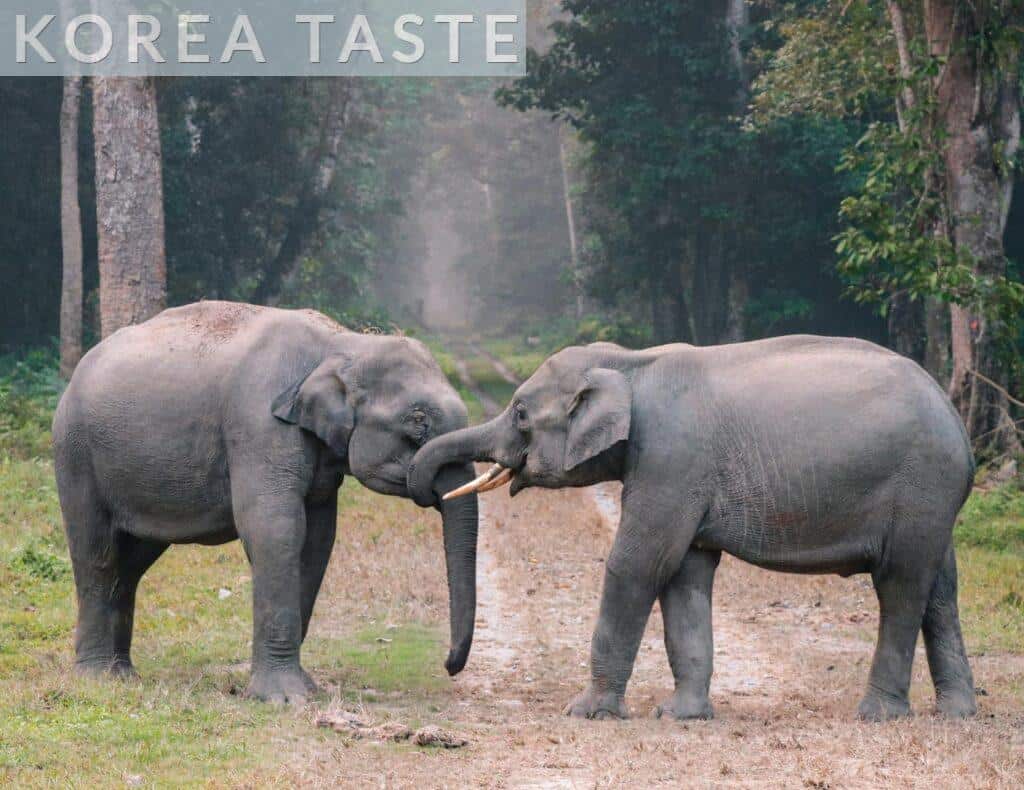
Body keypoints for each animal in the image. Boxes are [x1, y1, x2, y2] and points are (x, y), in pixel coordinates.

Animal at [52, 301, 479, 704]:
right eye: (418, 421)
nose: (449, 665)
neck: (341, 343)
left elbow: (318, 539)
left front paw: (305, 688)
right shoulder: (258, 425)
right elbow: (276, 530)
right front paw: (285, 698)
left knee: (131, 563)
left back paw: (123, 674)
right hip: (76, 454)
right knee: (98, 555)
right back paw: (97, 678)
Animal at [408, 335, 978, 722]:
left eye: (521, 413)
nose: (450, 668)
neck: (631, 363)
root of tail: (960, 424)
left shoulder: (671, 459)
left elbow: (639, 563)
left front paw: (586, 713)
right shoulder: (680, 474)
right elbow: (685, 573)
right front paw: (680, 716)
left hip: (921, 485)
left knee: (901, 585)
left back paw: (877, 715)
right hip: (933, 499)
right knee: (940, 588)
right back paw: (956, 714)